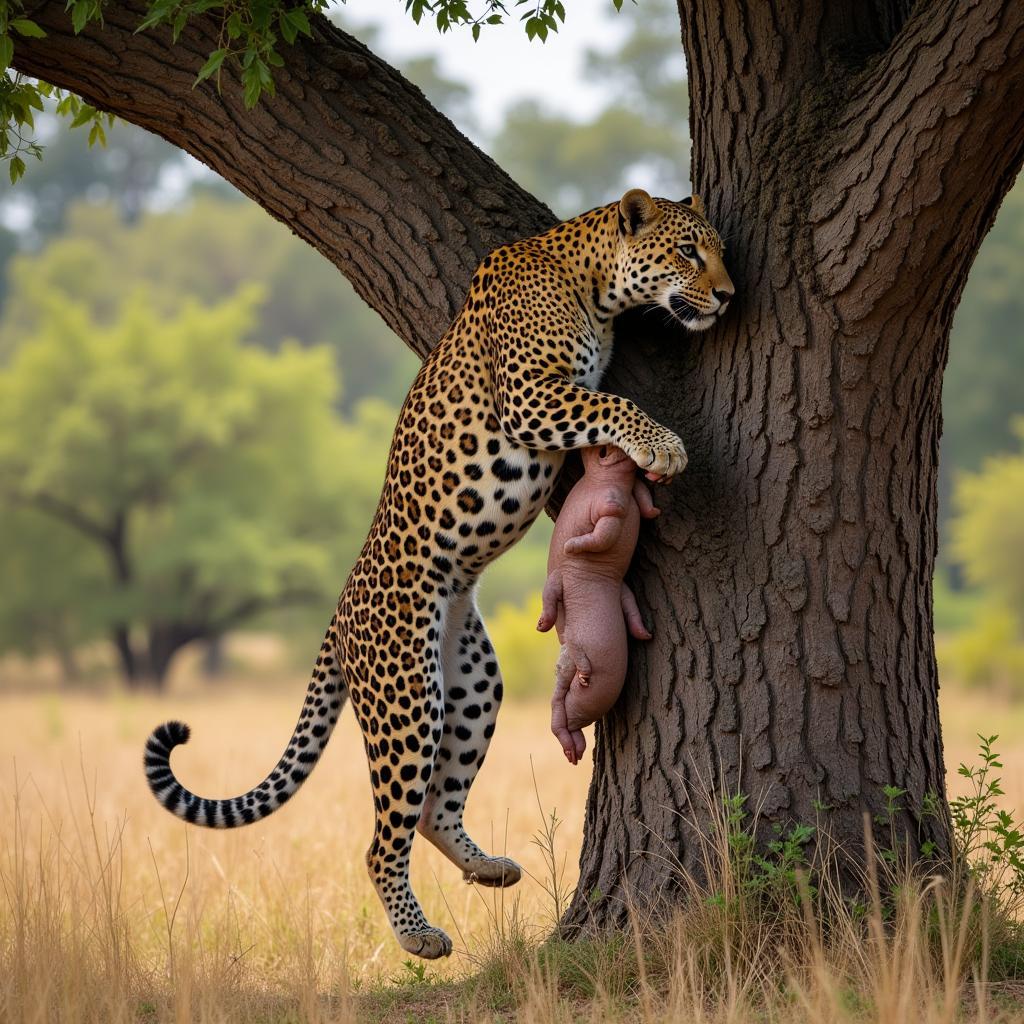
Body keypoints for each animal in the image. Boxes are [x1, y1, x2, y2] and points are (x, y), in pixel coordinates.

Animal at [146, 190, 737, 958]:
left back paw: (490, 869)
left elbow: (605, 406)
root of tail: (340, 610)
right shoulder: (529, 394)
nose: (727, 295)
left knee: (434, 809)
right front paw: (663, 446)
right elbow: (613, 403)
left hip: (474, 681)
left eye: (719, 249)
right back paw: (419, 935)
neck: (590, 283)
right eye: (689, 252)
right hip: (405, 698)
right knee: (382, 840)